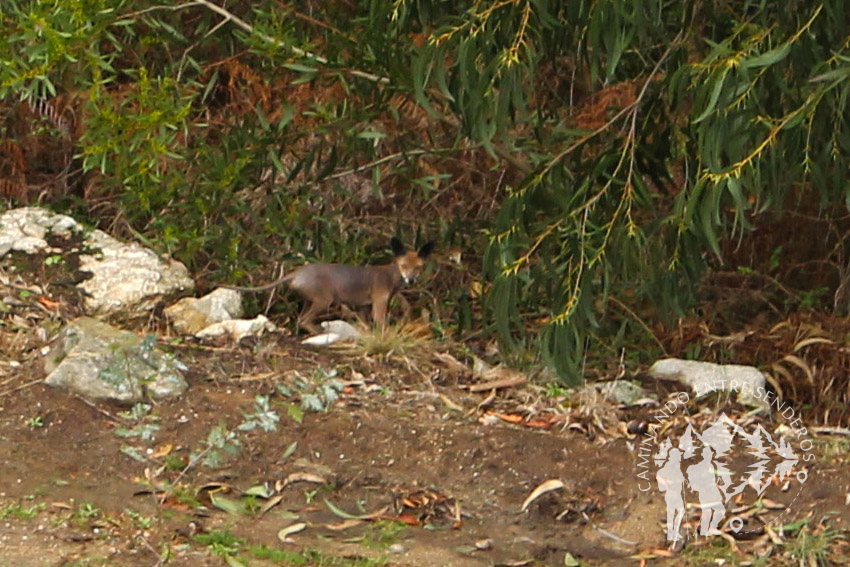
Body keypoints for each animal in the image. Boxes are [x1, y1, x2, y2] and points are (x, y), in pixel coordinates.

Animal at [222, 239, 434, 336]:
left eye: (419, 267)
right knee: (304, 320)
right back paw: (321, 333)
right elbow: (381, 323)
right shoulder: (378, 302)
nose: (411, 280)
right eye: (403, 265)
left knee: (300, 320)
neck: (392, 276)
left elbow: (368, 323)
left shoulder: (366, 305)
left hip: (310, 300)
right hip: (324, 300)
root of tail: (296, 273)